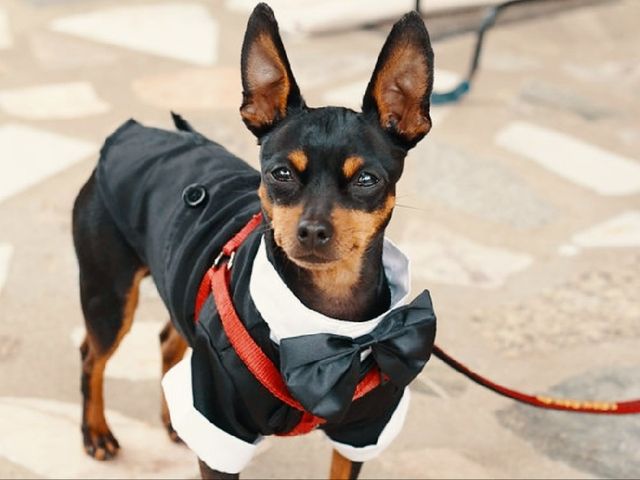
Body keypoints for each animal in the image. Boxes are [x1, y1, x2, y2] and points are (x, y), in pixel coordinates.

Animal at [72, 4, 438, 480]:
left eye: (366, 180)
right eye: (280, 173)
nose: (312, 230)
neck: (329, 323)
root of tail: (132, 133)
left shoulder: (362, 430)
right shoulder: (222, 425)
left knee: (169, 340)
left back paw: (172, 421)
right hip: (109, 296)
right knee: (91, 355)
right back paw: (96, 431)